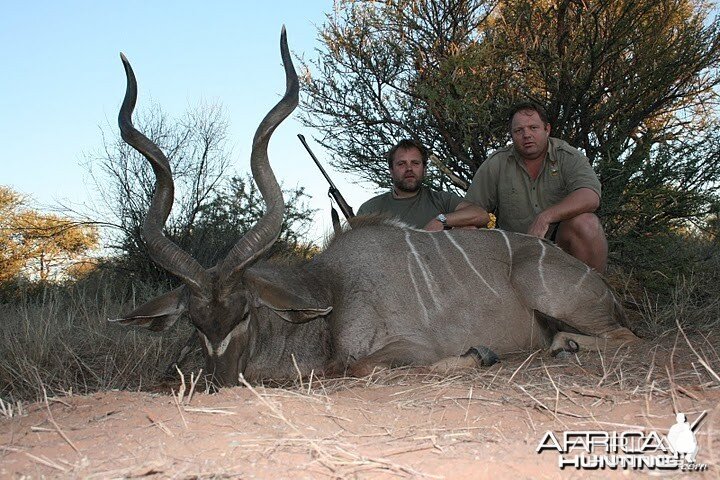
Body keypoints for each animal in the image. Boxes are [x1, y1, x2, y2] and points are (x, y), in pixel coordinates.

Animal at [111, 28, 636, 388]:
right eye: (195, 323)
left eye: (243, 314)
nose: (221, 383)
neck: (330, 290)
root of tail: (604, 288)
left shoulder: (407, 346)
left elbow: (360, 366)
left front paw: (479, 355)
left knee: (624, 337)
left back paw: (563, 346)